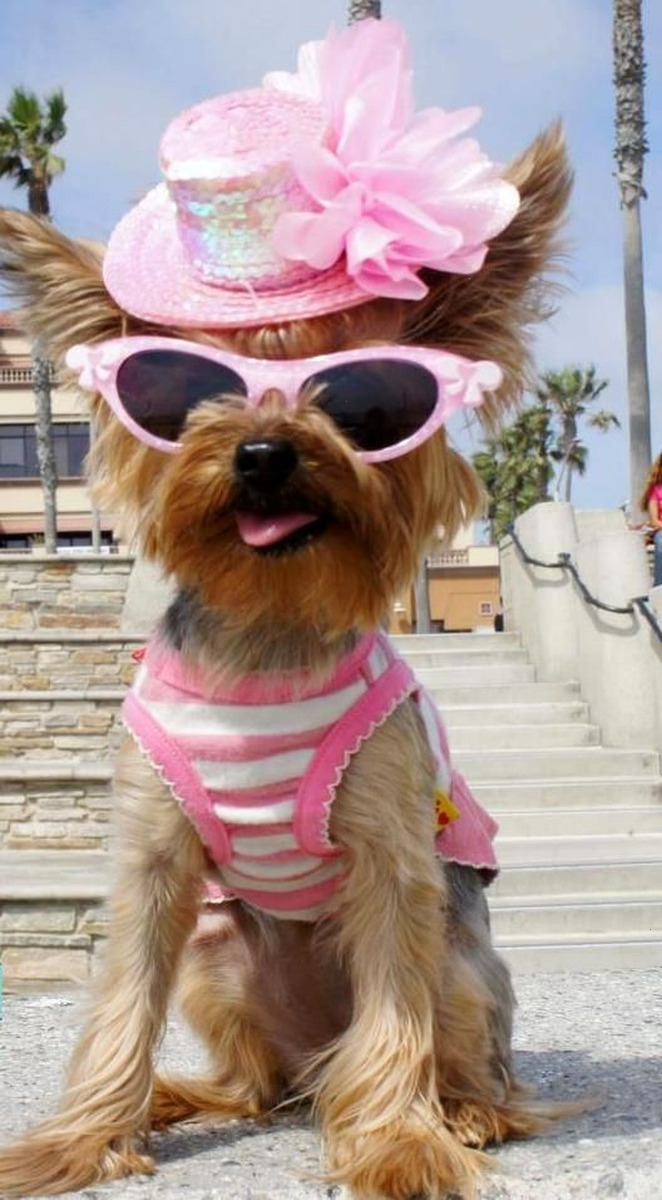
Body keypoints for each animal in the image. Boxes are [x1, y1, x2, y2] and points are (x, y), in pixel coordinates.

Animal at [0, 18, 568, 1200]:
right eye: (192, 389)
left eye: (356, 398)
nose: (264, 452)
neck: (266, 626)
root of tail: (312, 1062)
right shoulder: (154, 863)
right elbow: (120, 1002)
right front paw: (81, 1138)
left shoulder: (394, 861)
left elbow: (394, 1010)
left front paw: (398, 1141)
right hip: (221, 964)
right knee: (255, 1085)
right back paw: (184, 1099)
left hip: (462, 957)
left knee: (448, 1050)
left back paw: (463, 1111)